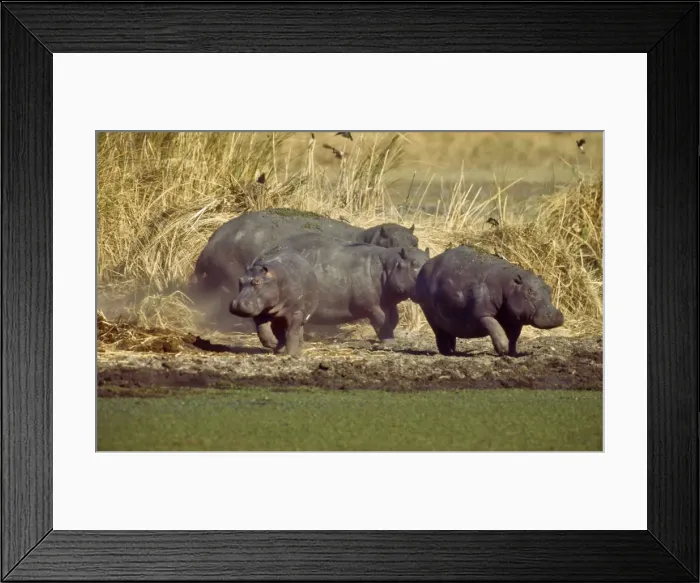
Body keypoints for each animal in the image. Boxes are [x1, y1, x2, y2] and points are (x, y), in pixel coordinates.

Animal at [263, 232, 430, 343]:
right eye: (413, 263)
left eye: (429, 260)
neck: (388, 265)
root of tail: (266, 252)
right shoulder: (371, 306)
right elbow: (381, 321)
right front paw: (390, 343)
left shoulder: (388, 301)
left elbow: (393, 319)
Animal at [414, 245, 564, 356]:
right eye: (530, 291)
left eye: (549, 289)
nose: (556, 315)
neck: (509, 286)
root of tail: (425, 265)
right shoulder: (483, 313)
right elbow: (496, 328)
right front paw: (503, 350)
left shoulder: (515, 318)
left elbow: (514, 337)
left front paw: (512, 353)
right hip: (429, 313)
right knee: (440, 334)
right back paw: (446, 353)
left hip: (447, 318)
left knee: (449, 333)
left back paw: (452, 351)